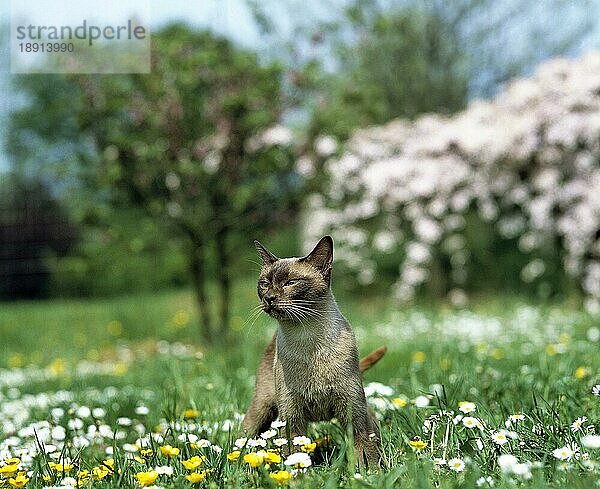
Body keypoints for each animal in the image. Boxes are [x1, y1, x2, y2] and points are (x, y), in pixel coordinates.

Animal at [243, 234, 386, 468]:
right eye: (264, 284)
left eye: (291, 283)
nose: (269, 298)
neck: (308, 341)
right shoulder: (291, 415)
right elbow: (293, 455)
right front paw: (297, 473)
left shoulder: (352, 410)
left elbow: (364, 453)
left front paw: (367, 473)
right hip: (264, 406)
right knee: (246, 433)